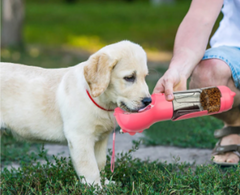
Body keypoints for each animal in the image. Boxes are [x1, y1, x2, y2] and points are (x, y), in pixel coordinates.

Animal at [0, 40, 150, 187]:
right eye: (129, 77)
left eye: (145, 77)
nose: (148, 101)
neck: (101, 101)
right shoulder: (80, 137)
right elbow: (90, 167)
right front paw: (95, 187)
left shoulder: (101, 139)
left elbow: (100, 162)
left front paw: (105, 183)